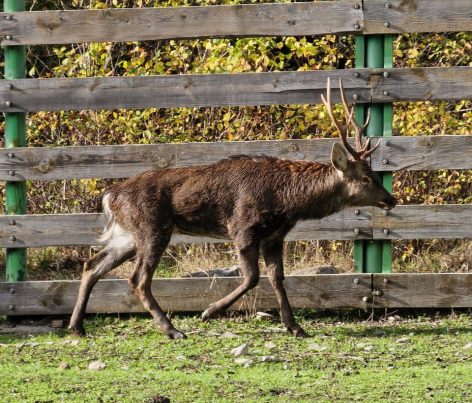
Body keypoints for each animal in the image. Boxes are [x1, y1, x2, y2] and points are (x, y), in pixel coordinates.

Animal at [69, 78, 394, 338]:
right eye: (366, 177)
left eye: (376, 173)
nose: (390, 200)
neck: (288, 203)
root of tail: (110, 196)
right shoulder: (242, 227)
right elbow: (252, 277)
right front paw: (209, 312)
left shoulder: (275, 236)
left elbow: (277, 279)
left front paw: (295, 327)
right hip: (152, 228)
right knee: (137, 279)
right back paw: (172, 330)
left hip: (128, 236)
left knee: (91, 265)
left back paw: (77, 326)